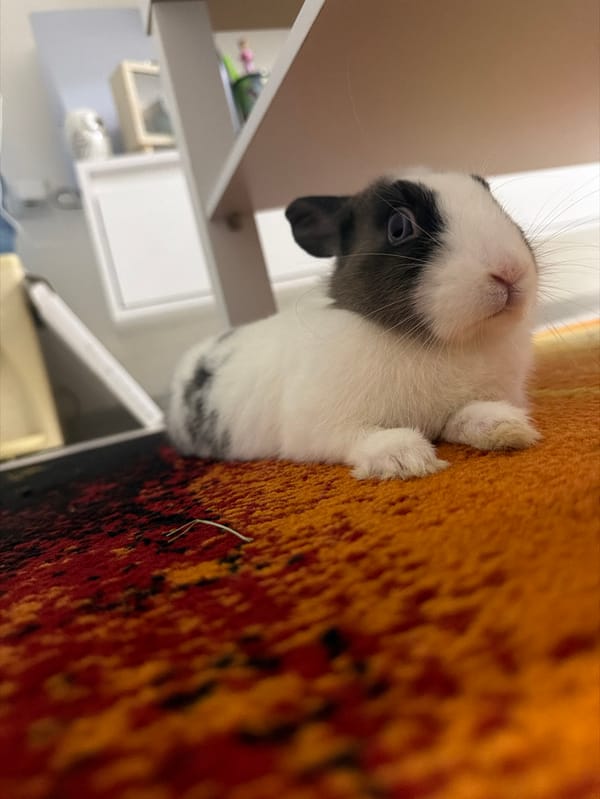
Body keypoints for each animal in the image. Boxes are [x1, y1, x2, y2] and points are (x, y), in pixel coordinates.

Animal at [168, 170, 540, 479]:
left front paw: (507, 428)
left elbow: (467, 416)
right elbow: (365, 437)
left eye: (496, 204)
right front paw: (406, 460)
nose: (509, 270)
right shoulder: (320, 427)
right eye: (399, 227)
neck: (437, 344)